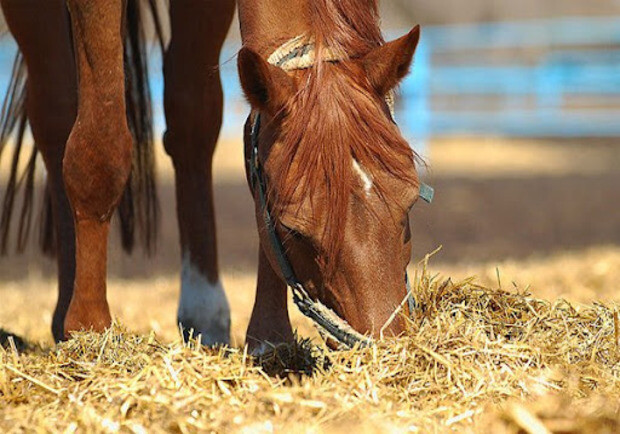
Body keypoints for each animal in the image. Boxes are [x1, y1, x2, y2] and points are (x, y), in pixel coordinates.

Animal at [0, 0, 422, 352]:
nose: (387, 345)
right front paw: (90, 328)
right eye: (294, 230)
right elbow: (100, 150)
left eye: (409, 205)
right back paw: (66, 317)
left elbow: (201, 120)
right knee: (56, 112)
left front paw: (268, 338)